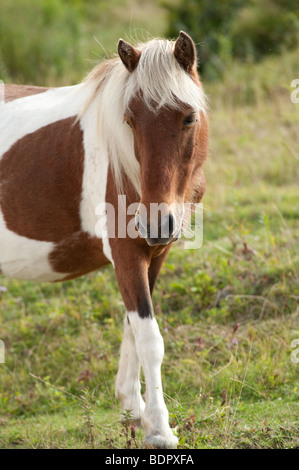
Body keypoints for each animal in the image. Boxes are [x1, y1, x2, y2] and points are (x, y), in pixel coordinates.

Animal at [0, 31, 209, 450]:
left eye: (189, 117)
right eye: (129, 120)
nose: (155, 223)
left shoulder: (155, 254)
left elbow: (133, 328)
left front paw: (133, 411)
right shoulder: (126, 254)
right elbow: (149, 339)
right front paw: (159, 429)